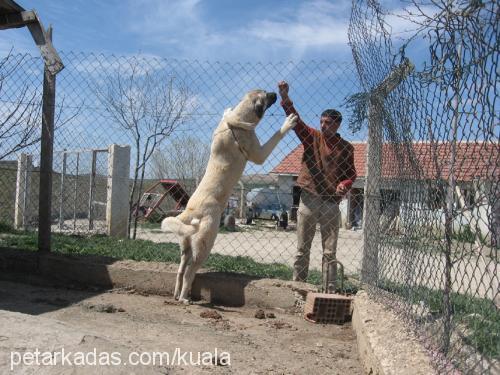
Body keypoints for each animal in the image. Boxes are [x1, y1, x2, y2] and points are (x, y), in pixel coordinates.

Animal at [161, 89, 296, 304]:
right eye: (266, 96)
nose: (275, 92)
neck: (236, 122)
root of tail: (190, 212)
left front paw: (227, 110)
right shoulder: (258, 153)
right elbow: (275, 136)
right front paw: (288, 123)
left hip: (185, 248)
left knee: (180, 271)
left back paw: (176, 294)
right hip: (205, 246)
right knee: (190, 272)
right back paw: (184, 298)